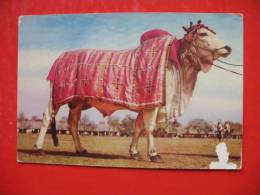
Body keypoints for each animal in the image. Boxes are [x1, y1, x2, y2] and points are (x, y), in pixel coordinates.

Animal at [34, 20, 232, 162]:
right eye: (203, 33)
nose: (228, 48)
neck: (176, 66)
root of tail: (61, 57)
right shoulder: (153, 104)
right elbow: (150, 128)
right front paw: (154, 154)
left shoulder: (145, 106)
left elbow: (138, 128)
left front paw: (134, 152)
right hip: (56, 97)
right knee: (46, 117)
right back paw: (39, 148)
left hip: (77, 102)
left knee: (73, 123)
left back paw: (81, 149)